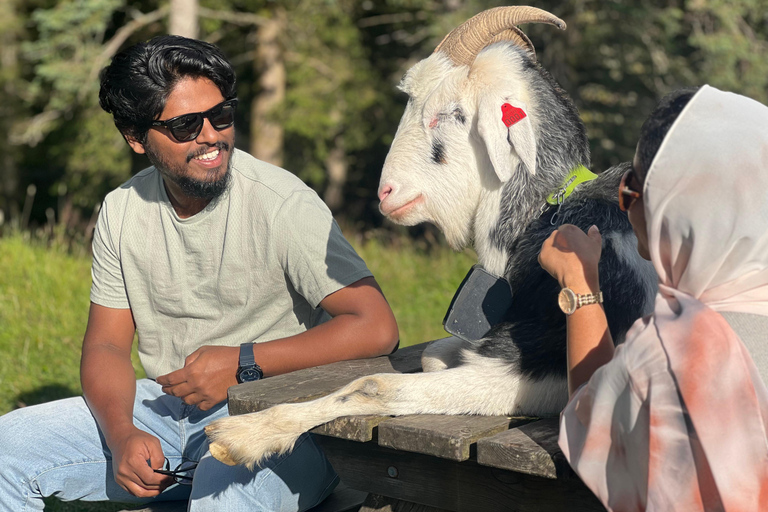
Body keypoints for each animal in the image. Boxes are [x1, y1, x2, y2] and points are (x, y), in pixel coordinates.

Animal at [207, 6, 656, 468]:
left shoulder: (534, 369)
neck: (549, 210)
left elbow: (375, 384)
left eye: (451, 112)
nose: (386, 193)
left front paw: (244, 433)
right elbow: (431, 354)